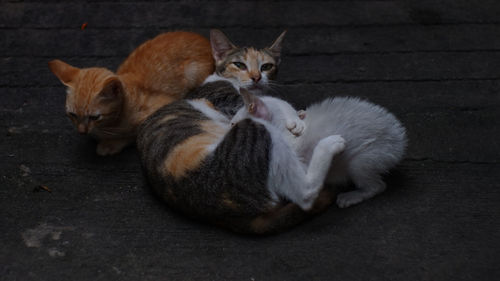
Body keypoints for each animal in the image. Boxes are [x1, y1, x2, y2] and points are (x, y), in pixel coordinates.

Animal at [48, 30, 215, 155]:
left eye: (95, 117)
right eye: (72, 114)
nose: (82, 131)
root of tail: (204, 41)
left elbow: (132, 134)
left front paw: (110, 144)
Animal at [232, 91, 408, 207]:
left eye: (233, 123)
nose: (228, 129)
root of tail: (400, 139)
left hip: (363, 159)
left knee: (377, 186)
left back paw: (351, 197)